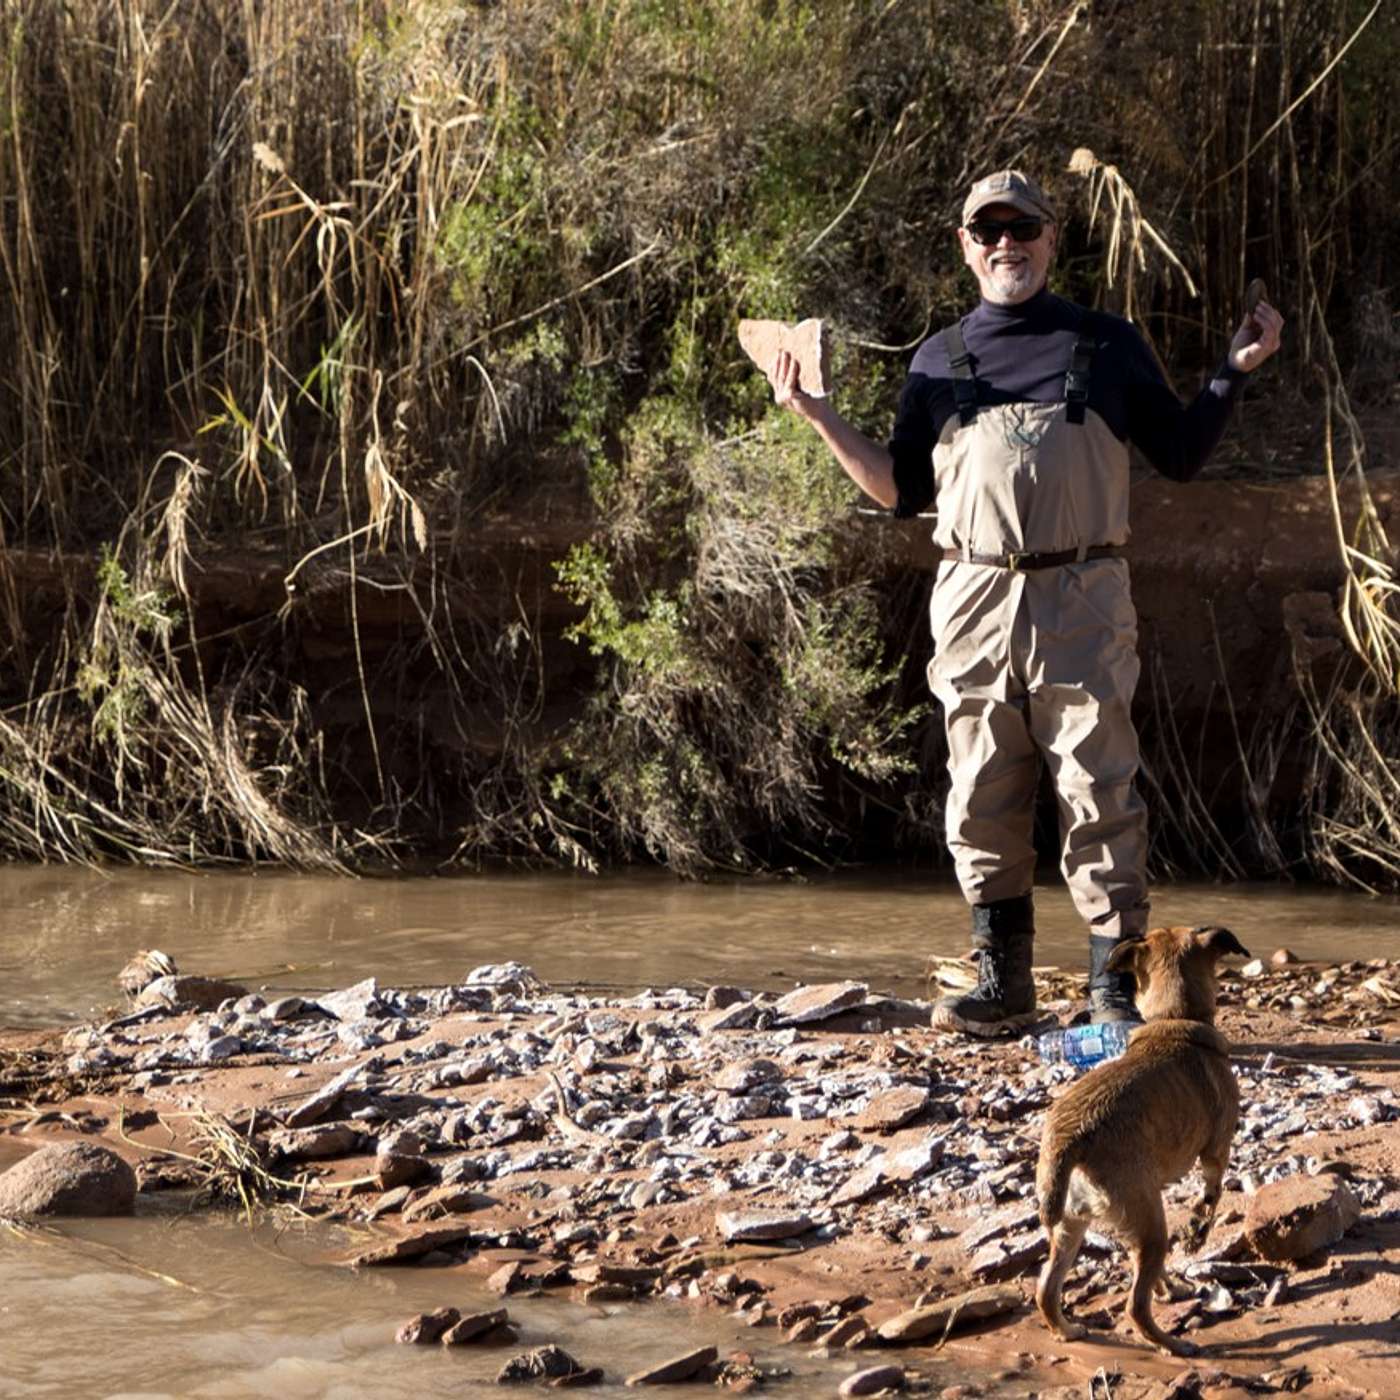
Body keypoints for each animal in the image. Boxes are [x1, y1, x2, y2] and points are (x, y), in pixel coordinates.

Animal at [1036, 929, 1254, 1355]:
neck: (1174, 1018)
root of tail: (1070, 1138)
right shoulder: (1217, 1150)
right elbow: (1212, 1194)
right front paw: (1198, 1232)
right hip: (1148, 1224)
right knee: (1135, 1306)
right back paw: (1174, 1345)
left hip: (1073, 1225)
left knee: (1047, 1290)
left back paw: (1067, 1330)